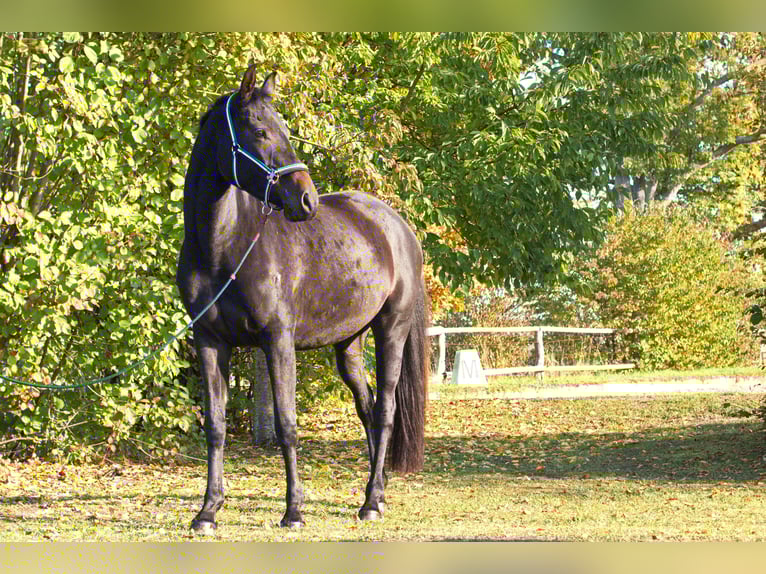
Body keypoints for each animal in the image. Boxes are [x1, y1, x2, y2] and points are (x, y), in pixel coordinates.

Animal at [176, 65, 428, 534]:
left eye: (285, 129)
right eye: (259, 131)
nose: (306, 199)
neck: (225, 247)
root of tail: (399, 228)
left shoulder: (278, 341)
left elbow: (287, 424)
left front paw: (293, 510)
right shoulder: (209, 341)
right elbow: (216, 425)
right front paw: (208, 511)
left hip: (392, 330)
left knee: (385, 410)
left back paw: (370, 502)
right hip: (349, 344)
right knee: (367, 408)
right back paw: (377, 492)